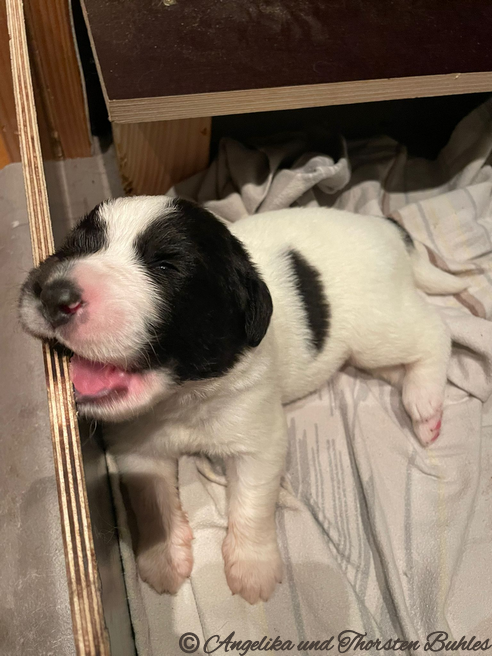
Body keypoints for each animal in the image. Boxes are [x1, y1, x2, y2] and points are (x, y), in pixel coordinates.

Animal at [19, 196, 467, 604]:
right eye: (74, 246)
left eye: (166, 266)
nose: (53, 293)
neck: (182, 397)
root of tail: (385, 226)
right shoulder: (135, 445)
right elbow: (151, 497)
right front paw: (164, 558)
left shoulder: (258, 436)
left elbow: (252, 500)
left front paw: (253, 568)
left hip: (377, 325)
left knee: (434, 330)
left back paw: (425, 404)